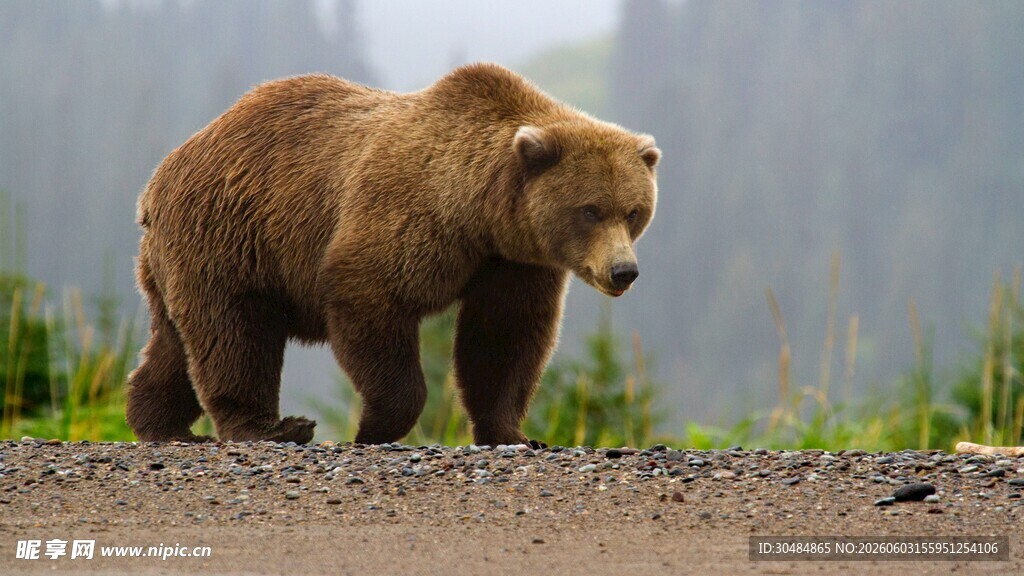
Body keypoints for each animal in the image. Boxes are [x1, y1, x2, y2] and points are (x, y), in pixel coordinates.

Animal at [125, 62, 660, 446]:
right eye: (590, 210)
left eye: (634, 211)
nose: (624, 271)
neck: (480, 213)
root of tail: (159, 177)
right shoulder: (408, 215)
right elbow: (370, 298)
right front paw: (373, 427)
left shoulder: (513, 262)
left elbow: (504, 338)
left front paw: (514, 433)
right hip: (232, 233)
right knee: (235, 333)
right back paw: (270, 428)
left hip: (182, 257)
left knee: (176, 342)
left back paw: (160, 423)